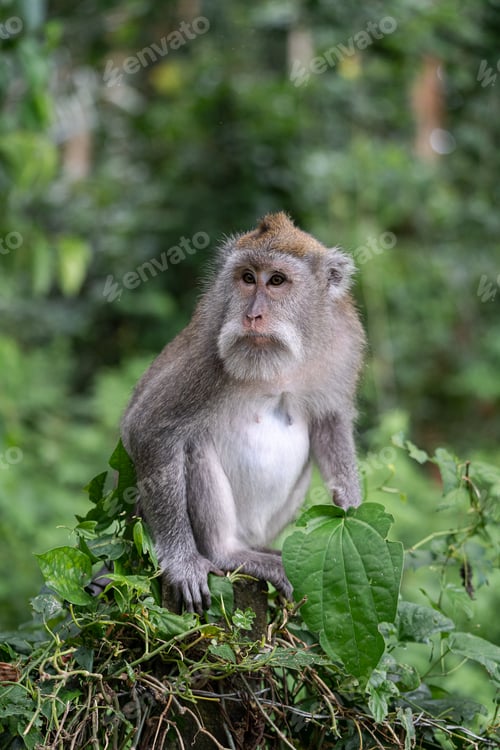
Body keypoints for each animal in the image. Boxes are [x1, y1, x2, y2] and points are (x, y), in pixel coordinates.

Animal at [121, 212, 365, 614]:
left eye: (277, 280)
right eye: (247, 278)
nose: (252, 315)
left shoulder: (344, 341)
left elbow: (330, 420)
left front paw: (351, 505)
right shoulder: (206, 357)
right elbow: (148, 428)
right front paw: (183, 563)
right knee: (192, 445)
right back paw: (230, 554)